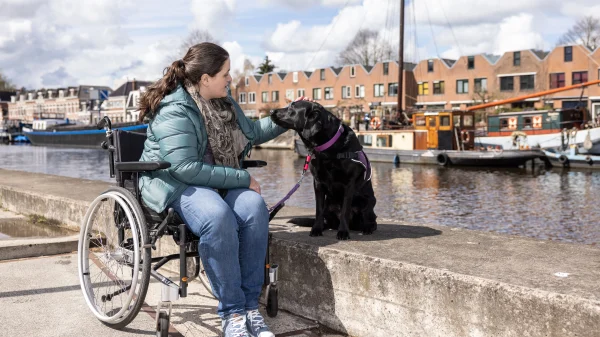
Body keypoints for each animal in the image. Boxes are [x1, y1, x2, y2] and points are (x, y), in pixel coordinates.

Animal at [270, 100, 378, 239]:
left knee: (371, 220)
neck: (327, 148)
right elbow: (318, 210)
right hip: (329, 205)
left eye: (292, 106)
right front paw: (316, 229)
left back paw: (367, 228)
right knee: (328, 220)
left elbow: (345, 210)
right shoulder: (318, 182)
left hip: (368, 201)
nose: (271, 111)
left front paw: (343, 232)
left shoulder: (349, 184)